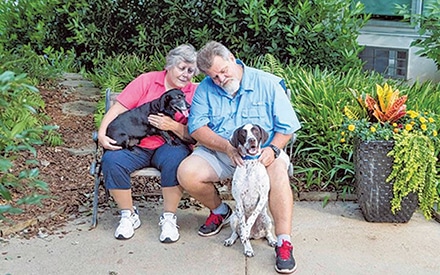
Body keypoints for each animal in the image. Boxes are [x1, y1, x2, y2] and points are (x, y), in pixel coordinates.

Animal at [225, 124, 276, 258]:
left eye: (255, 131)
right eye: (243, 133)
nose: (251, 140)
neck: (250, 163)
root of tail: (255, 235)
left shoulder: (262, 197)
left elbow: (251, 218)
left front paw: (247, 229)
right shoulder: (238, 200)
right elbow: (243, 227)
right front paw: (245, 237)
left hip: (266, 219)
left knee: (267, 233)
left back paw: (272, 240)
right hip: (234, 218)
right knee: (236, 233)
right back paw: (238, 243)